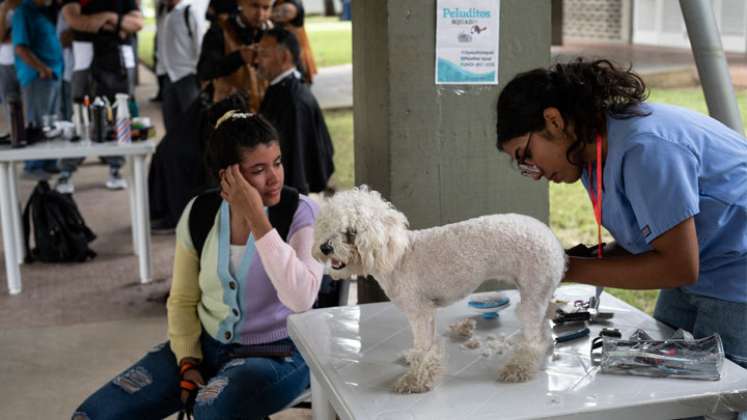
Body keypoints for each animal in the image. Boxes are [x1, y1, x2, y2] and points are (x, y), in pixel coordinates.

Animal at [312, 187, 568, 394]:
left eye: (351, 232)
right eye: (326, 226)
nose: (324, 248)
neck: (397, 256)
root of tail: (554, 241)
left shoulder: (421, 311)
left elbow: (427, 347)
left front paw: (416, 380)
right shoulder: (423, 313)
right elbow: (421, 345)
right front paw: (414, 358)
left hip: (533, 292)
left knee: (535, 338)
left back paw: (519, 368)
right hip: (538, 294)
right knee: (544, 330)